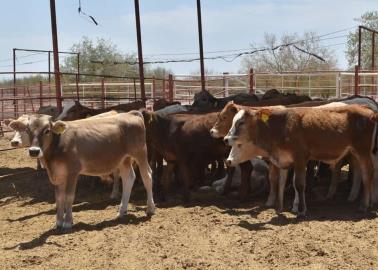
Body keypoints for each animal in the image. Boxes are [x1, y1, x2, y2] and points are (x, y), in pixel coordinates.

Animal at [9, 110, 155, 229]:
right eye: (27, 130)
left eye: (47, 130)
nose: (34, 151)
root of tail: (131, 113)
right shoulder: (58, 174)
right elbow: (59, 198)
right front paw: (58, 222)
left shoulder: (73, 172)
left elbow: (69, 197)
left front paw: (68, 222)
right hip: (124, 159)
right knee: (128, 178)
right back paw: (122, 210)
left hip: (140, 153)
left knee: (147, 176)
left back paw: (150, 208)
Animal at [224, 104, 378, 216]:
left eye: (241, 122)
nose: (226, 139)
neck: (282, 126)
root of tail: (369, 111)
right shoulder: (283, 160)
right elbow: (281, 183)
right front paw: (279, 208)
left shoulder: (300, 158)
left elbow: (299, 184)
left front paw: (302, 210)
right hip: (357, 153)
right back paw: (369, 202)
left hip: (363, 151)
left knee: (367, 174)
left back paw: (364, 205)